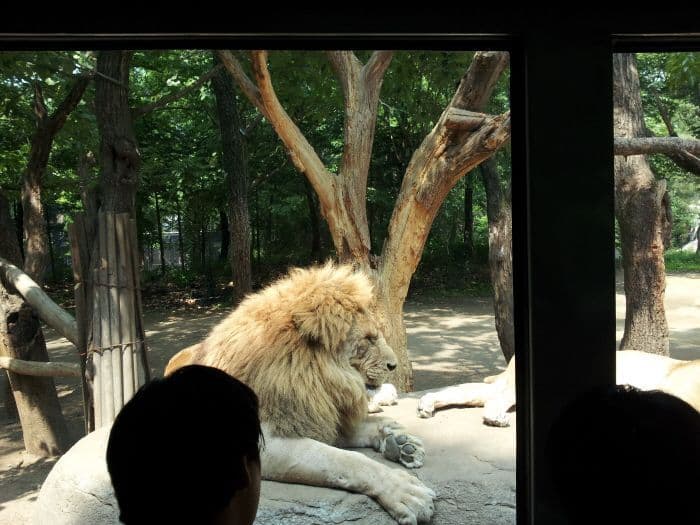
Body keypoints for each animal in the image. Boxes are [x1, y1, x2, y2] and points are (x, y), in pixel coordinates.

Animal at [165, 263, 434, 525]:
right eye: (369, 339)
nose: (394, 365)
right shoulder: (264, 444)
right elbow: (347, 461)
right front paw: (407, 493)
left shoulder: (315, 411)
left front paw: (400, 441)